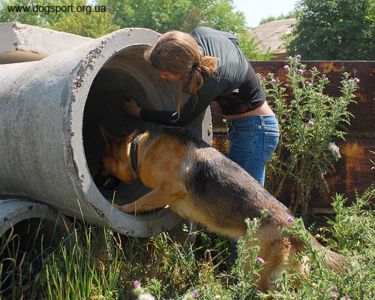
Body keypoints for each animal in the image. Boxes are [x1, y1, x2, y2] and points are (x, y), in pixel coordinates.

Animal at [99, 126, 346, 290]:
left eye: (103, 161)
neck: (137, 149)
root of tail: (294, 225)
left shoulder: (168, 188)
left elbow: (139, 202)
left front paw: (121, 207)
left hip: (254, 268)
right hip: (293, 274)